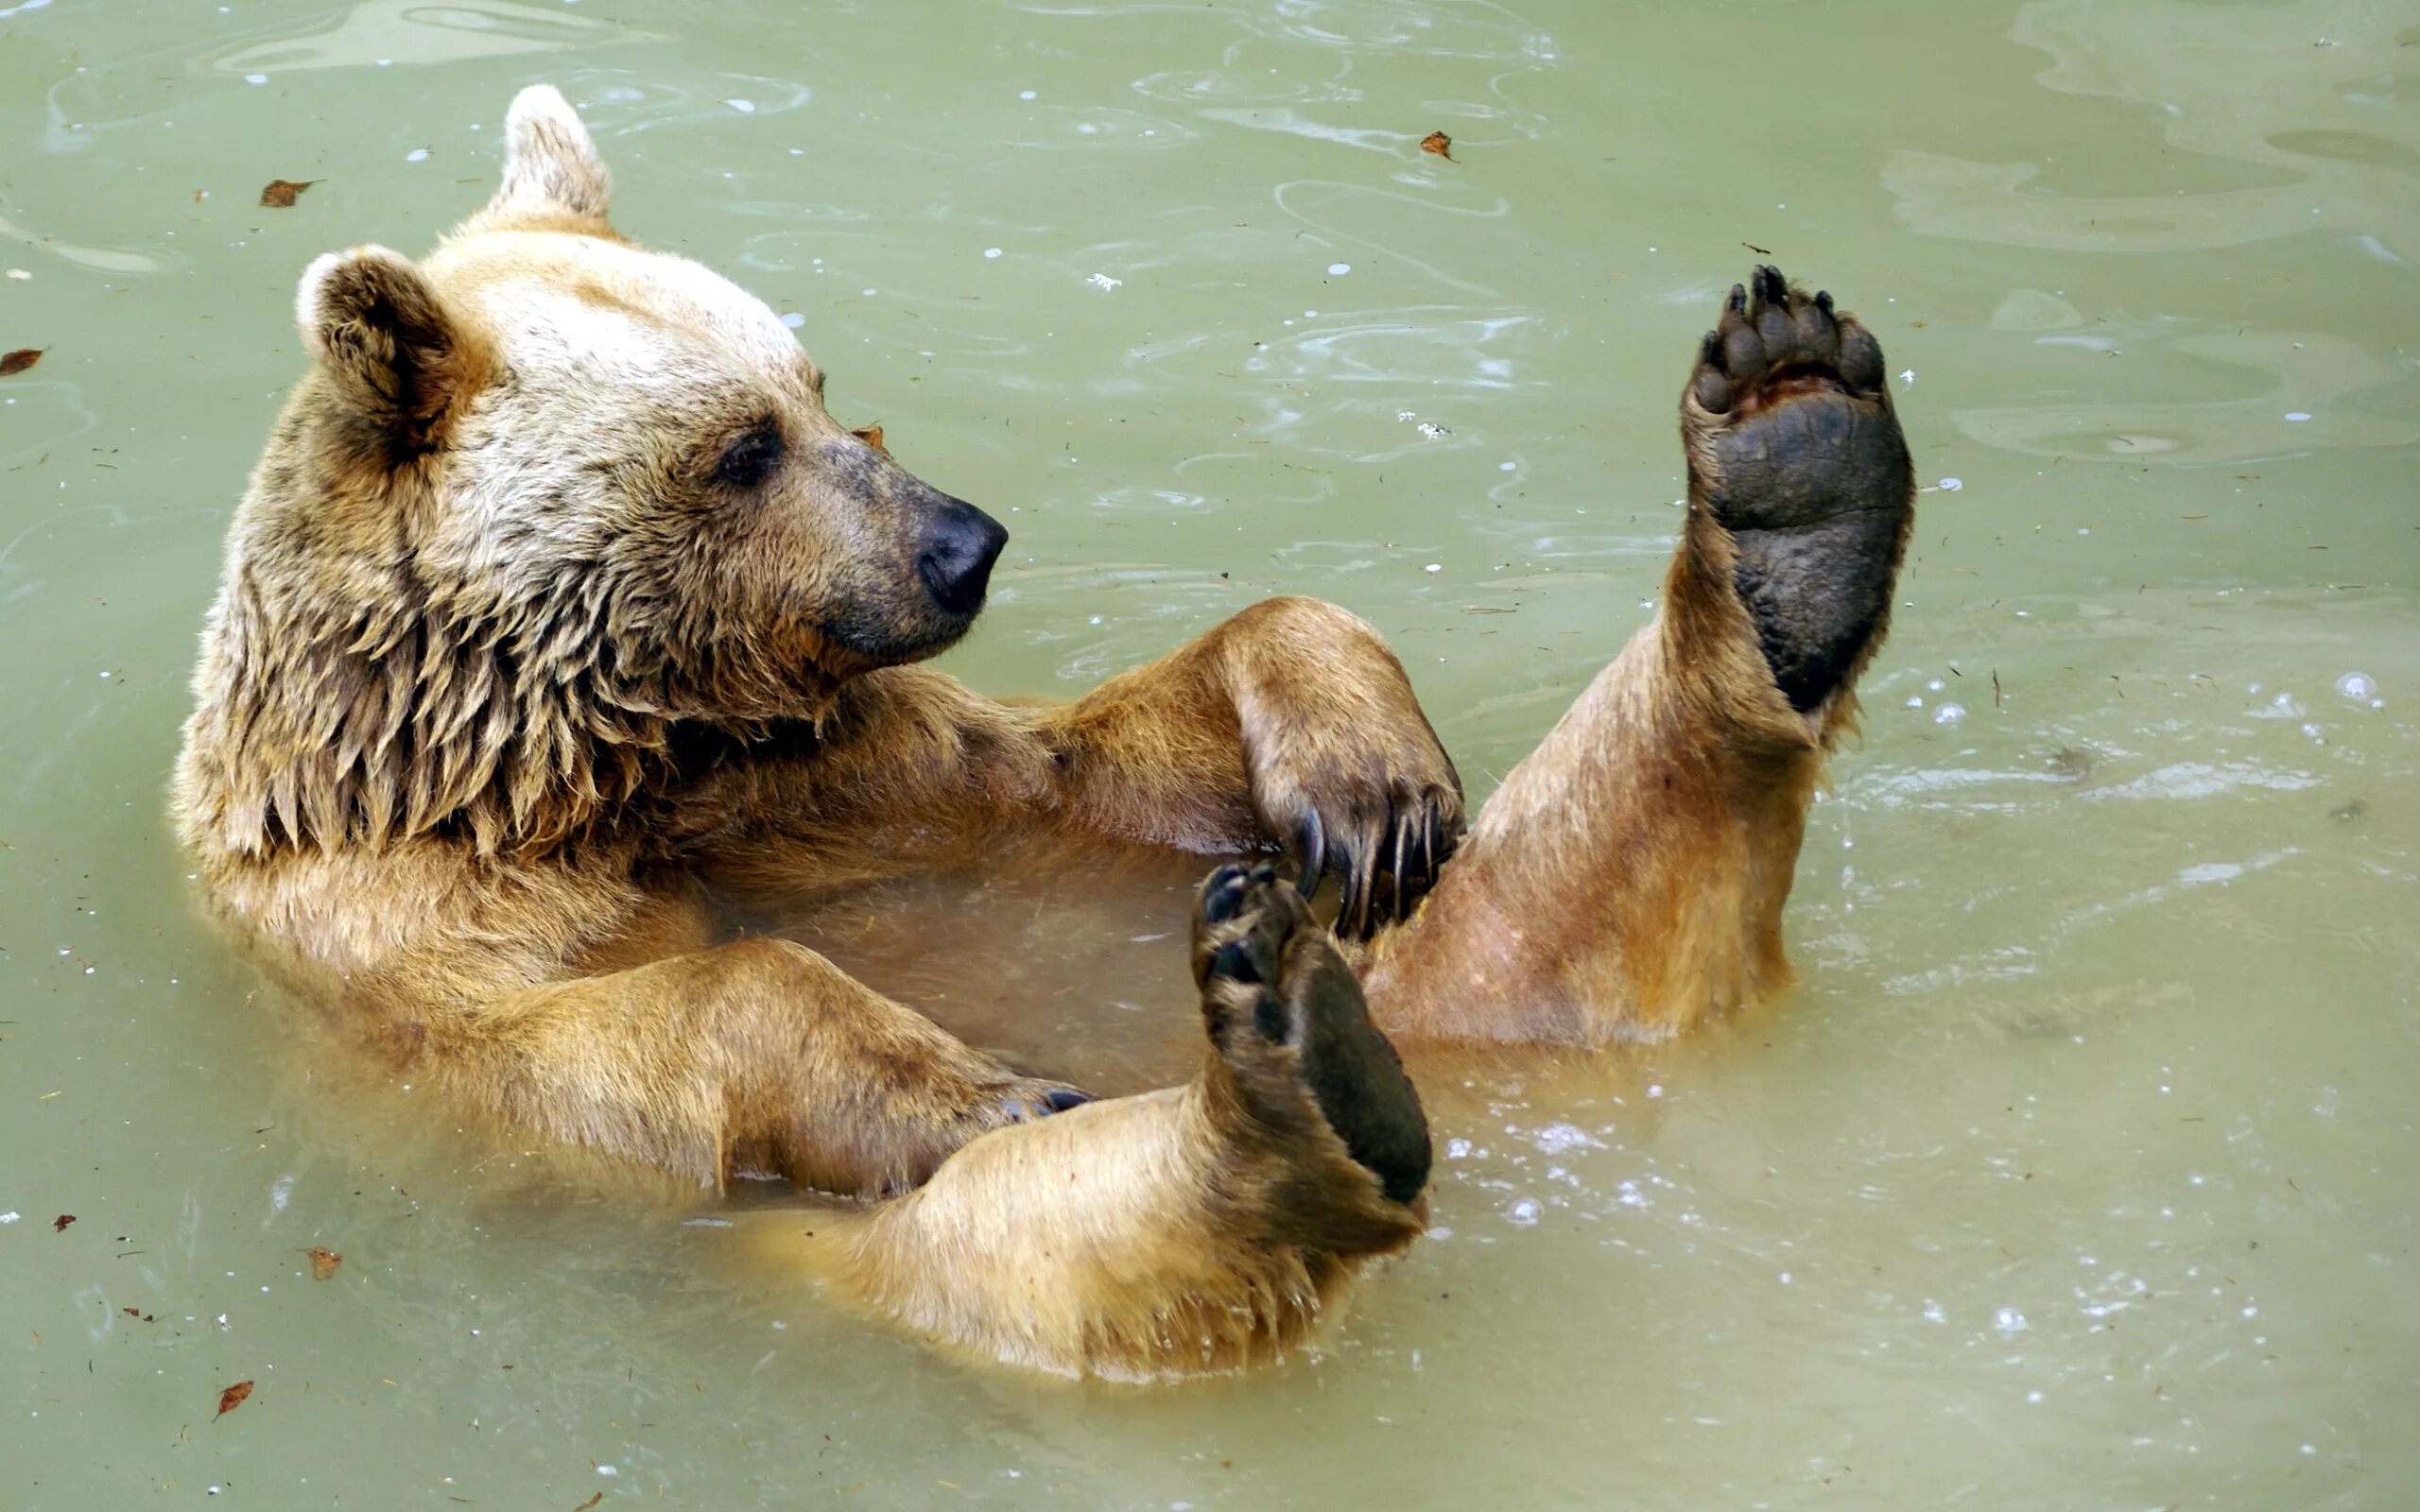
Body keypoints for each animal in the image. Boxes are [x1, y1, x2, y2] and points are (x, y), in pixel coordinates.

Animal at [170, 82, 1907, 1383]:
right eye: (740, 449)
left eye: (814, 380)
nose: (964, 545)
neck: (602, 760)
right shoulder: (403, 946)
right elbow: (648, 1022)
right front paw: (978, 1086)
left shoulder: (875, 779)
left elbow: (1107, 761)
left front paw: (1369, 783)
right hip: (851, 1264)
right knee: (1022, 1247)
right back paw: (1292, 1086)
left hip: (1466, 960)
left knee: (1571, 881)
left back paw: (1794, 468)